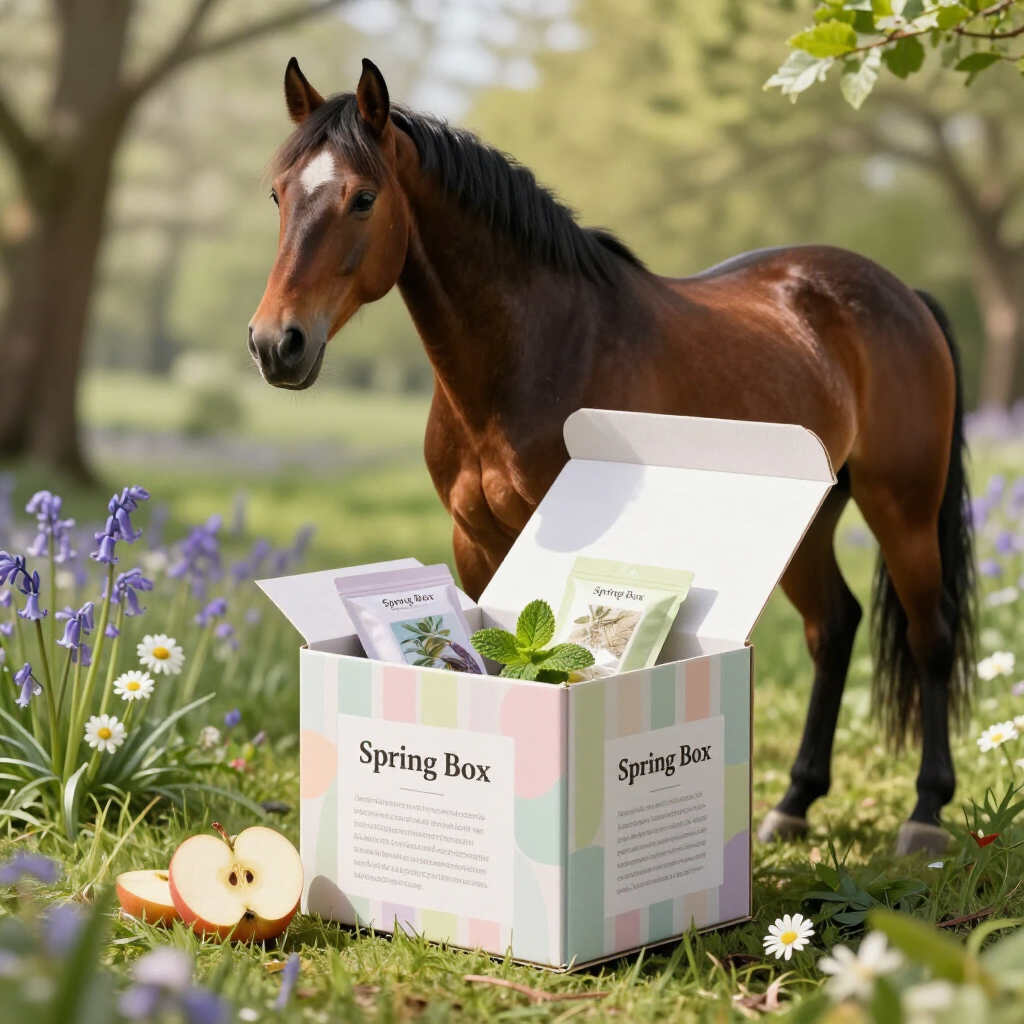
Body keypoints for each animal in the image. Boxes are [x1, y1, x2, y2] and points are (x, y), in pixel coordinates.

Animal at [249, 57, 975, 857]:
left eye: (363, 198)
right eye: (279, 193)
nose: (276, 343)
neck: (537, 348)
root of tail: (902, 294)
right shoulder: (474, 541)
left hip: (902, 506)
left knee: (930, 634)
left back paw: (925, 814)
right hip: (810, 522)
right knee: (834, 628)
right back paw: (794, 802)